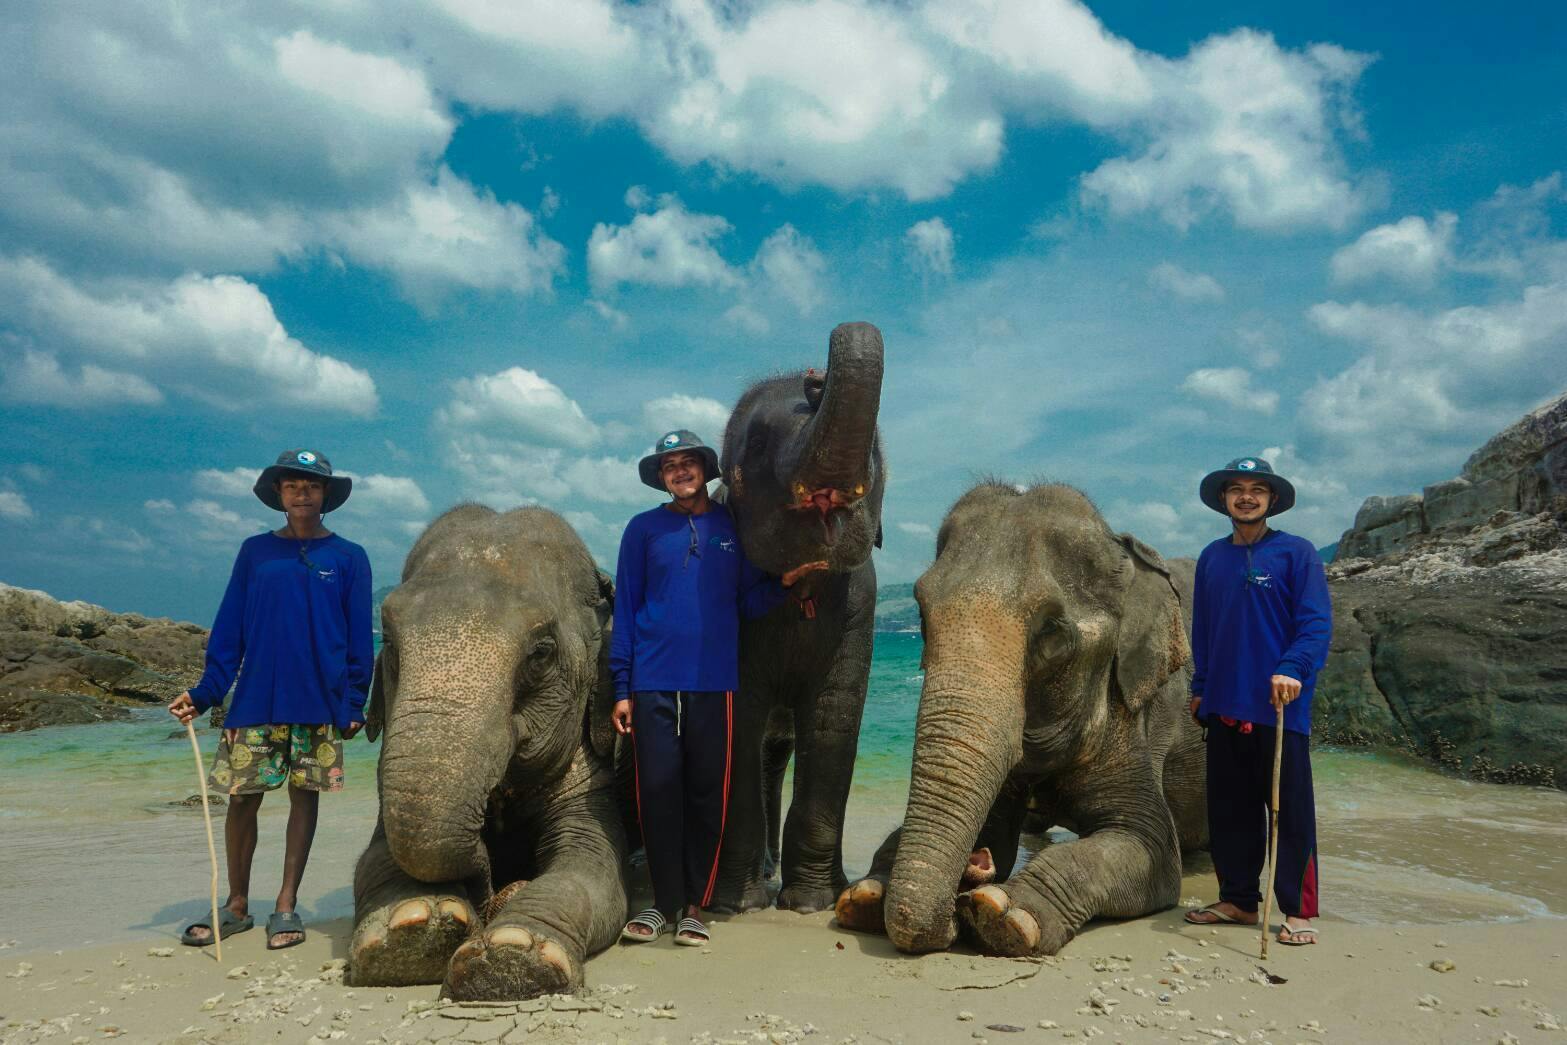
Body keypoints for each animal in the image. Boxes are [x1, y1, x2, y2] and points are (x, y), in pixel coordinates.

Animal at [346, 510, 626, 1002]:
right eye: (390, 644)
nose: (492, 883)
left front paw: (511, 959)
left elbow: (592, 863)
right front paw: (411, 934)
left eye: (541, 653)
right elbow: (377, 857)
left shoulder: (592, 778)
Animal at [711, 322, 883, 908]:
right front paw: (737, 905)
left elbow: (834, 716)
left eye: (875, 451)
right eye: (759, 444)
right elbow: (735, 714)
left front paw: (813, 903)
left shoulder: (861, 607)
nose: (815, 377)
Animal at [839, 482, 1203, 958]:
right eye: (920, 613)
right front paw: (867, 895)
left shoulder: (1144, 716)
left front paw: (1004, 915)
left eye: (1052, 629)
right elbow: (994, 827)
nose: (976, 865)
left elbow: (1151, 845)